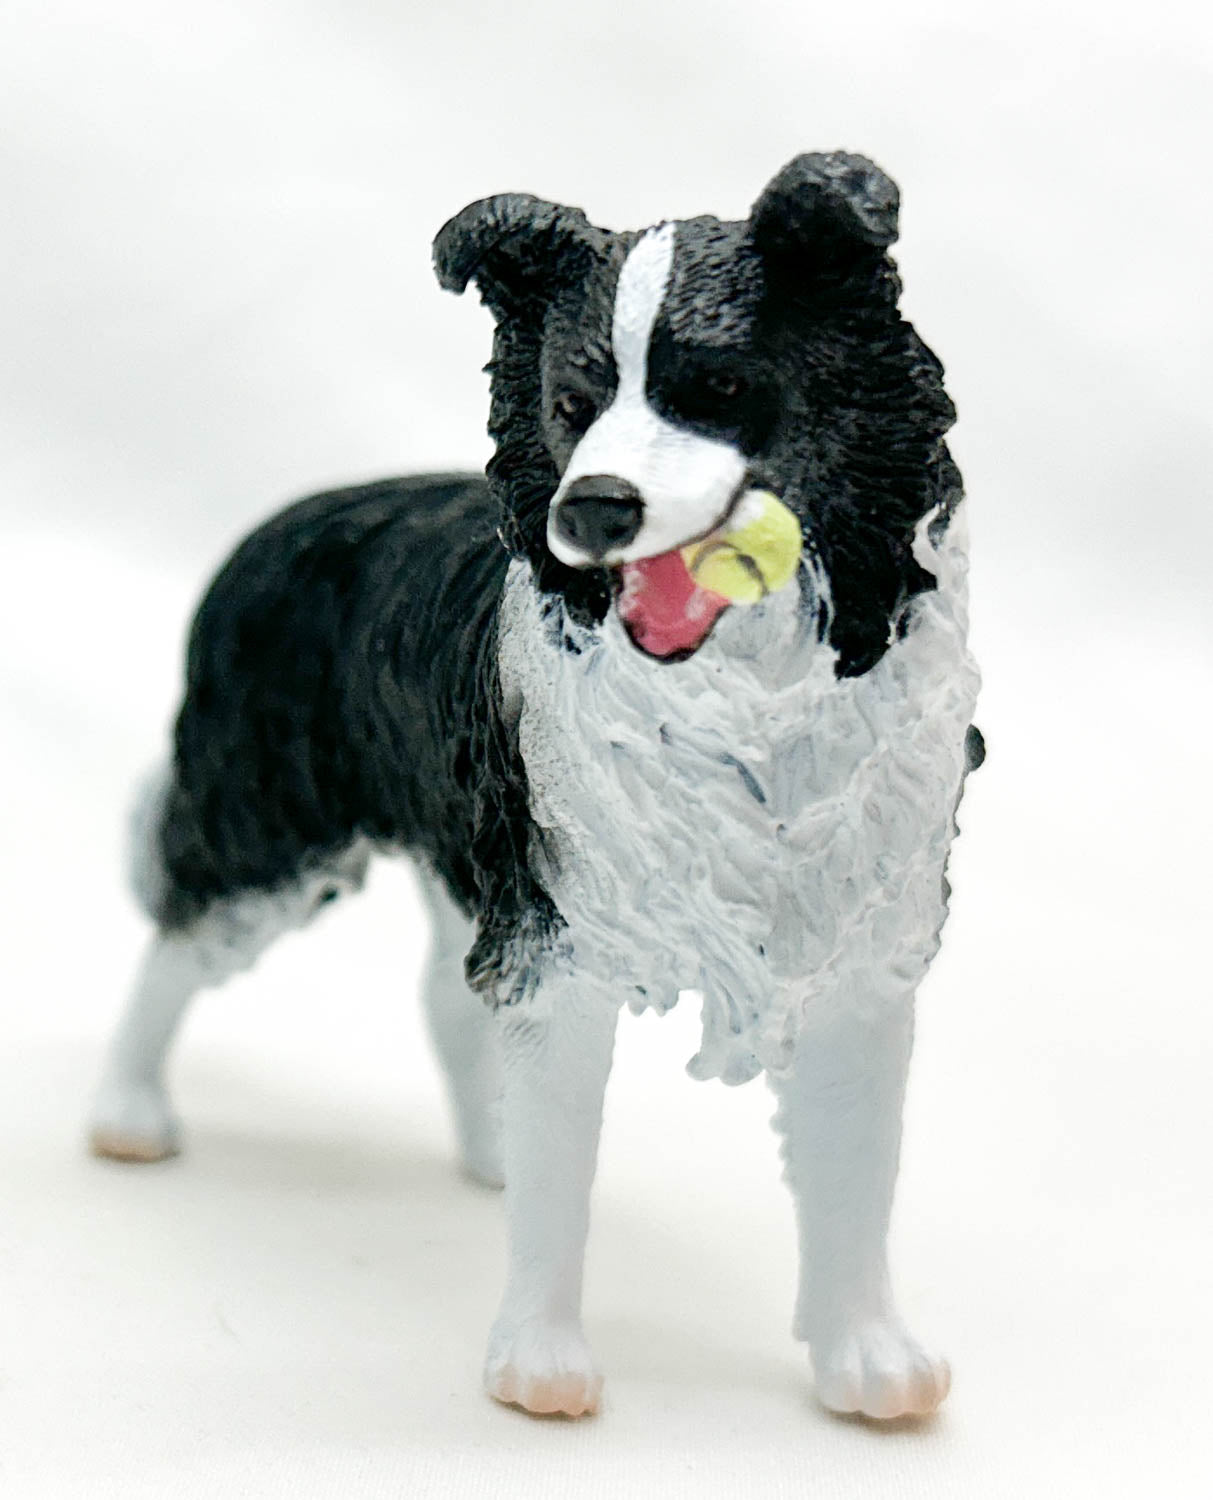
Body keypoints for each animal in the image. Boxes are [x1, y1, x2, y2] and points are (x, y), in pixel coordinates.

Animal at [94, 155, 983, 1428]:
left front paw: (867, 1357)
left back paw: (487, 1151)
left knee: (436, 997)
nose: (593, 508)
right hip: (268, 817)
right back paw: (126, 1112)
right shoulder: (561, 933)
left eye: (719, 386)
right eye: (573, 403)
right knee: (174, 936)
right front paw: (540, 1363)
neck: (744, 691)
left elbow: (855, 1171)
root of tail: (277, 525)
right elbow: (564, 1181)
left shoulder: (855, 948)